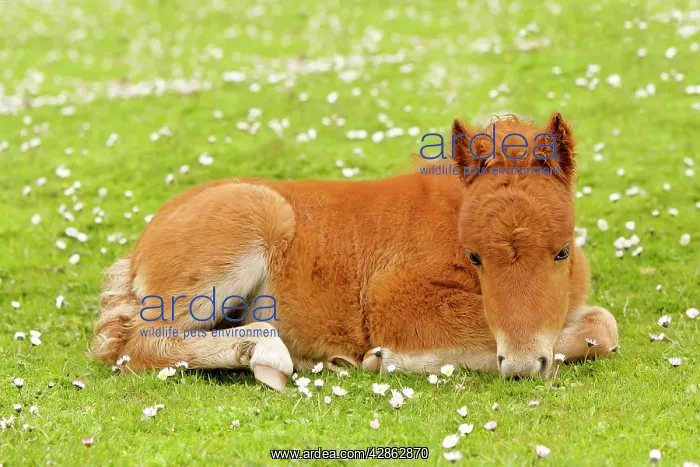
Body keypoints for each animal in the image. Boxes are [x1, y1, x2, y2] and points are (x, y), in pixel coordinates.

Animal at [90, 112, 619, 390]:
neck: (449, 216)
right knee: (139, 344)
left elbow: (601, 324)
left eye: (562, 252)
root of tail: (141, 245)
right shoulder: (391, 300)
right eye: (475, 257)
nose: (526, 365)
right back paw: (267, 353)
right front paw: (387, 360)